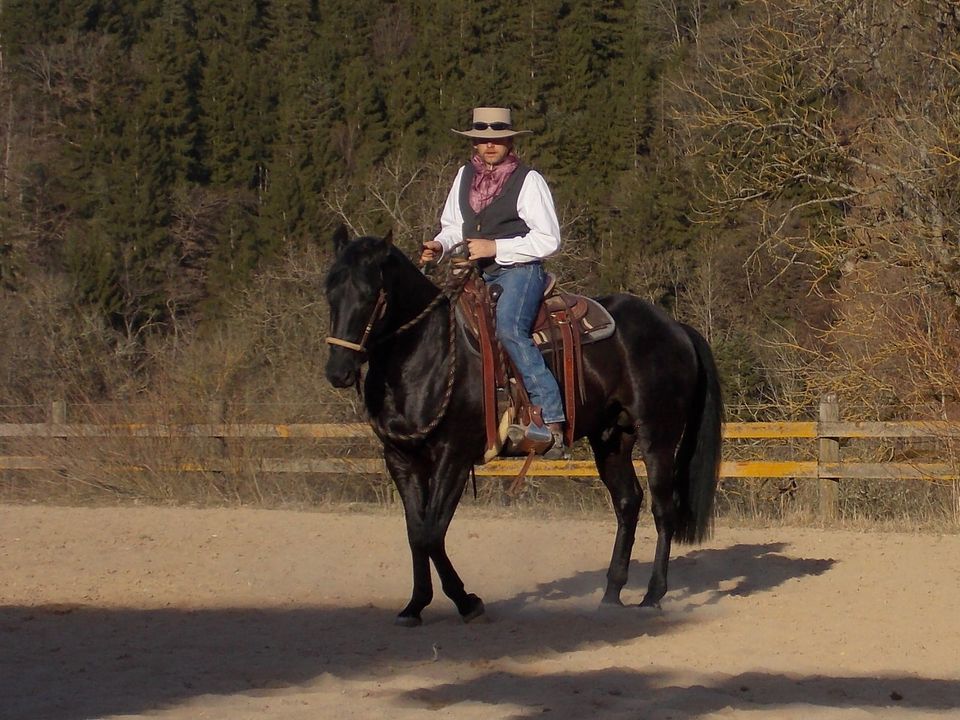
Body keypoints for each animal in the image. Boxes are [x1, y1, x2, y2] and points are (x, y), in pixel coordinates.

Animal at [324, 228, 720, 628]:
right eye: (330, 291)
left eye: (370, 294)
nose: (338, 371)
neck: (429, 354)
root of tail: (675, 327)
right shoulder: (402, 460)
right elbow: (415, 532)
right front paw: (415, 605)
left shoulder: (453, 457)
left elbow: (432, 534)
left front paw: (468, 602)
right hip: (611, 438)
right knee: (627, 502)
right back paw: (611, 594)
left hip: (658, 436)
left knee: (663, 508)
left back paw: (653, 596)